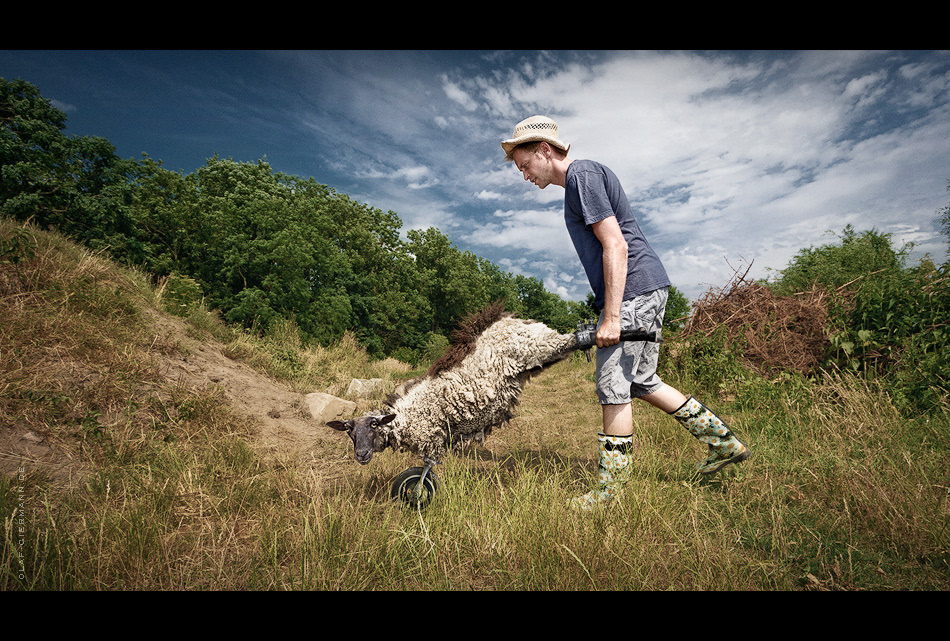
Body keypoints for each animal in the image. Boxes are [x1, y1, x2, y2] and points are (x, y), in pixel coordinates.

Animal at [326, 302, 580, 473]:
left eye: (374, 425)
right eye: (348, 431)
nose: (361, 455)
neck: (402, 417)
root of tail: (509, 319)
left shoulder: (431, 441)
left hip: (537, 345)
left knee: (567, 340)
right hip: (536, 358)